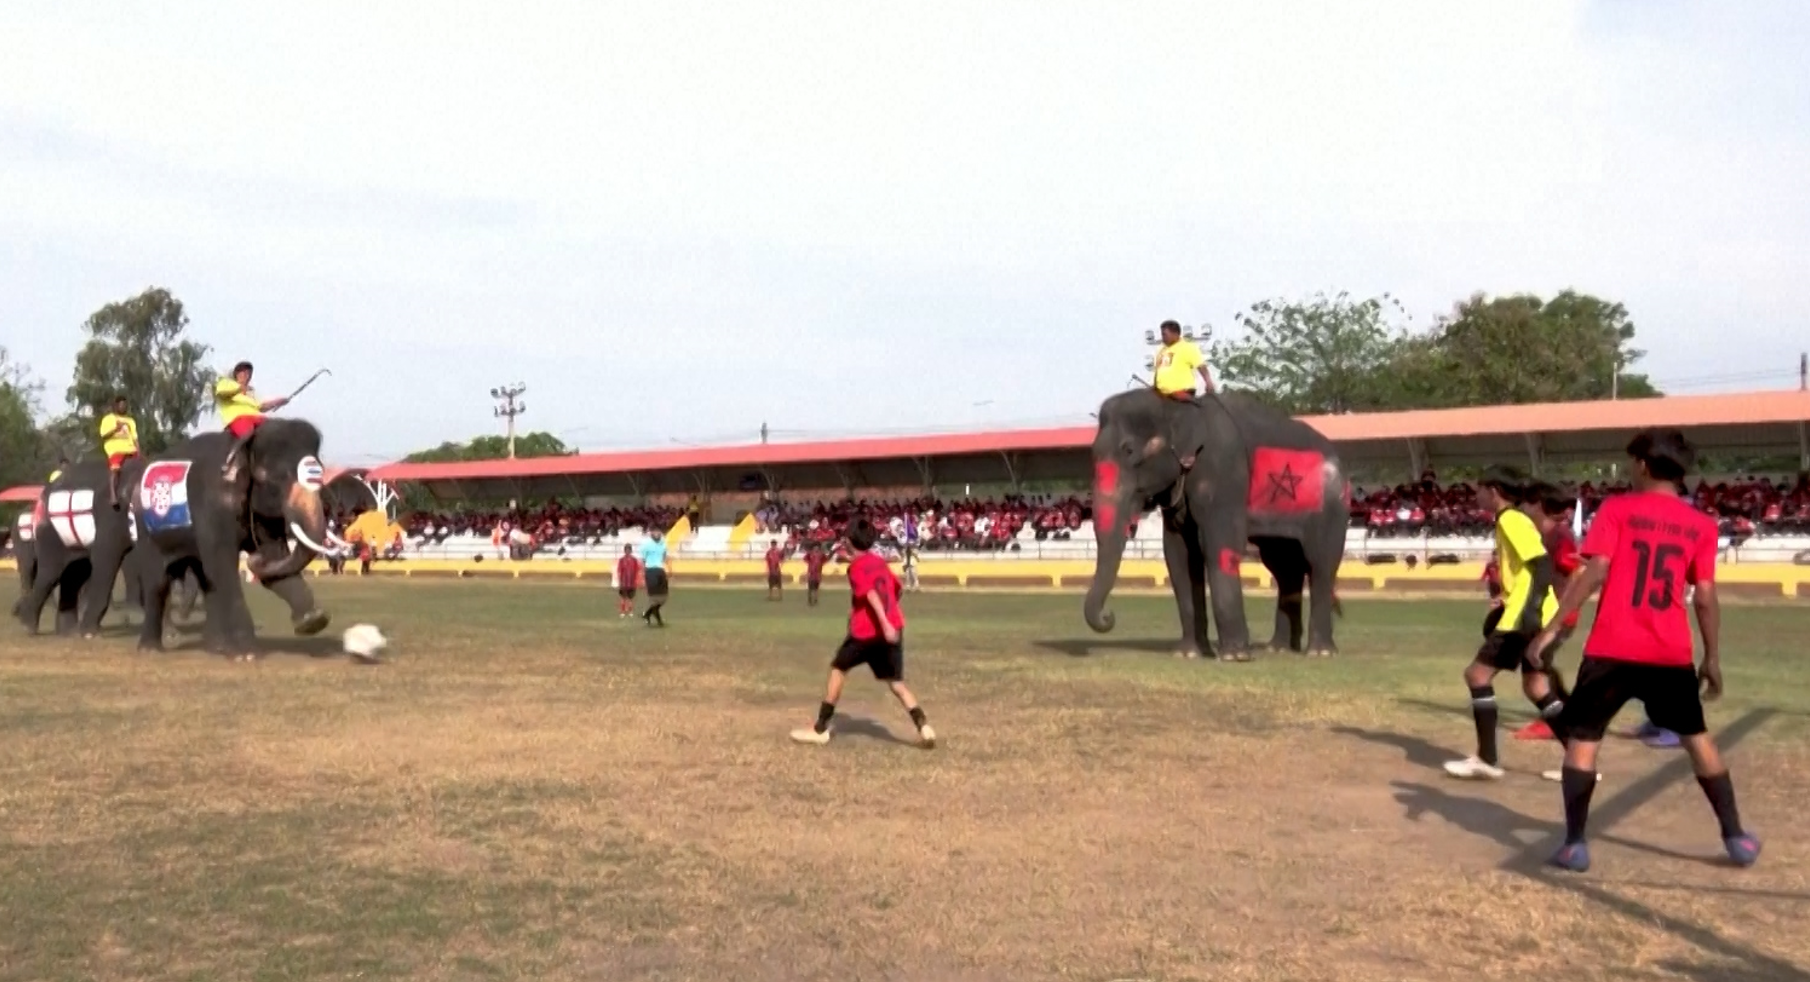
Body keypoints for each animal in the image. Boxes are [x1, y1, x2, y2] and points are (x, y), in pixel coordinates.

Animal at [1071, 390, 1346, 661]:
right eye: (1092, 454)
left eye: (1128, 450)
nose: (1109, 615)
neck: (1175, 406)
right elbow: (1178, 554)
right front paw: (1188, 654)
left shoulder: (1224, 471)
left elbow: (1219, 545)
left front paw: (1235, 656)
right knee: (1284, 568)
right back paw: (1278, 649)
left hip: (1330, 508)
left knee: (1320, 564)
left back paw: (1320, 652)